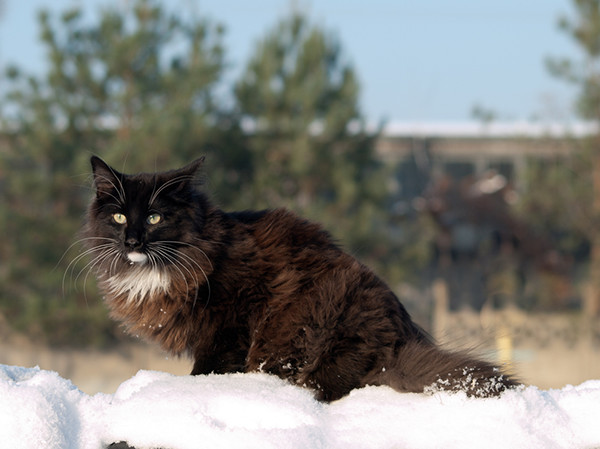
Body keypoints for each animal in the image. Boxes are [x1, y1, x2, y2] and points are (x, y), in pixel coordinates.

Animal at [83, 156, 516, 400]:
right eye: (119, 216)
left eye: (154, 217)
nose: (132, 240)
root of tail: (399, 338)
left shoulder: (231, 321)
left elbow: (208, 368)